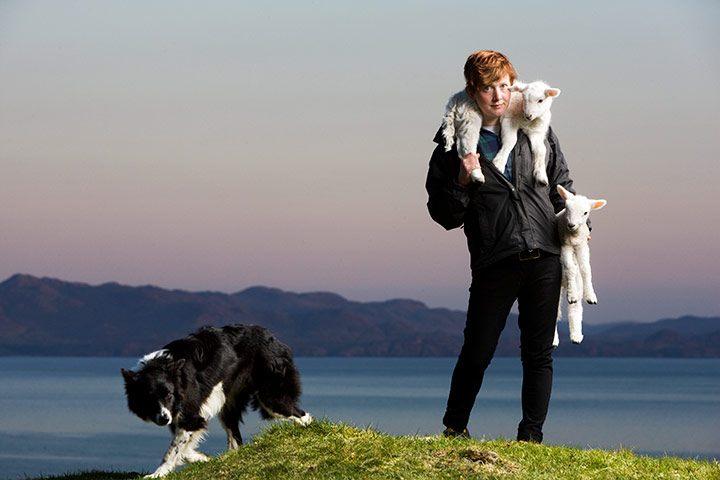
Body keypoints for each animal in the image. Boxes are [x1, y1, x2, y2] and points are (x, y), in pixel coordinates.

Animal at [121, 324, 312, 478]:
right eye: (148, 398)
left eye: (168, 395)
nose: (163, 419)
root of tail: (275, 340)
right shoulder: (179, 416)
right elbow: (182, 448)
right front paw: (202, 458)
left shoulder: (189, 415)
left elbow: (172, 450)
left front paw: (158, 474)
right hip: (228, 405)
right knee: (235, 440)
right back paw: (227, 458)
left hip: (271, 398)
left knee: (302, 415)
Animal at [556, 186, 604, 346]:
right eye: (566, 208)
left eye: (585, 212)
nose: (571, 224)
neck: (574, 236)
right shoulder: (564, 246)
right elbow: (570, 268)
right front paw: (572, 294)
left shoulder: (583, 245)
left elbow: (586, 269)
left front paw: (590, 296)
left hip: (577, 283)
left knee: (575, 308)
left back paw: (576, 336)